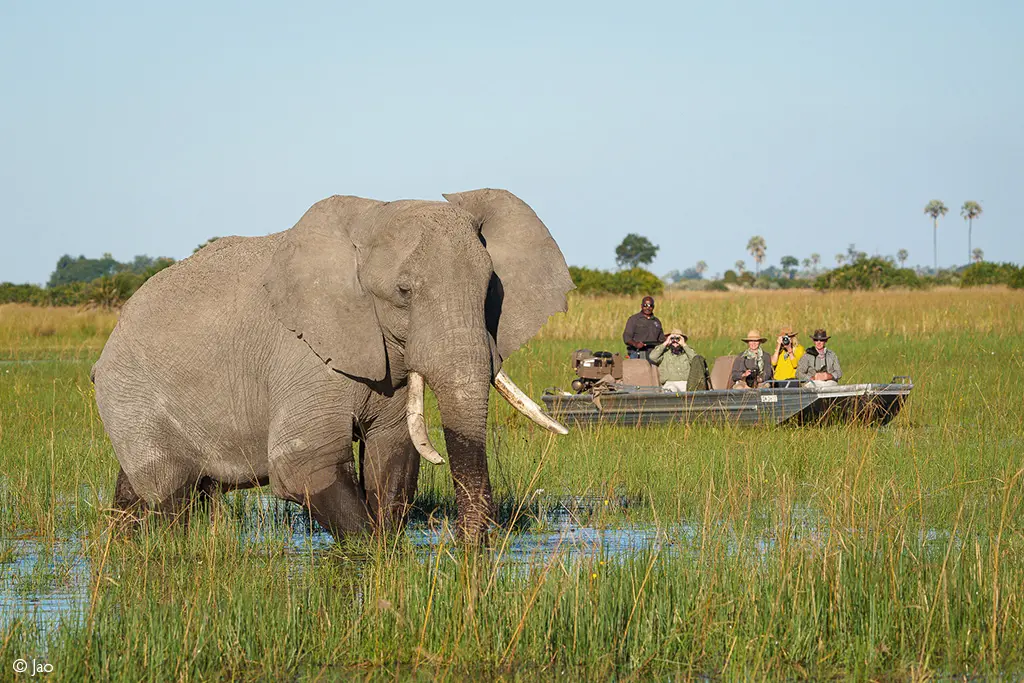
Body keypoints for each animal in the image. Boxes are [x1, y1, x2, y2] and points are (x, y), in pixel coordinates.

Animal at [92, 189, 574, 541]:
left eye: (492, 290)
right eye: (403, 292)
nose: (466, 542)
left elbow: (390, 456)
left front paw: (390, 547)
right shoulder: (302, 353)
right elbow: (304, 465)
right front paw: (373, 551)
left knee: (141, 494)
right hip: (130, 396)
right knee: (172, 496)